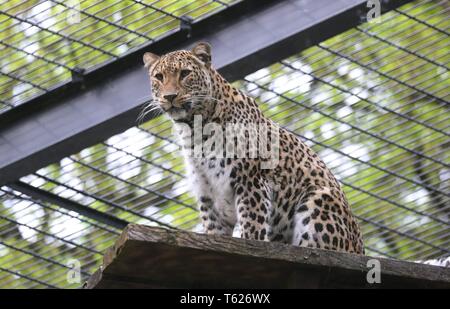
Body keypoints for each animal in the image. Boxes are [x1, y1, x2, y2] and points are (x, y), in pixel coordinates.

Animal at [144, 41, 366, 253]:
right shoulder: (207, 194)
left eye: (185, 73)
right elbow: (214, 233)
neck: (194, 130)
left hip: (319, 197)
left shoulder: (251, 182)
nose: (169, 96)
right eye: (159, 77)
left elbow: (252, 227)